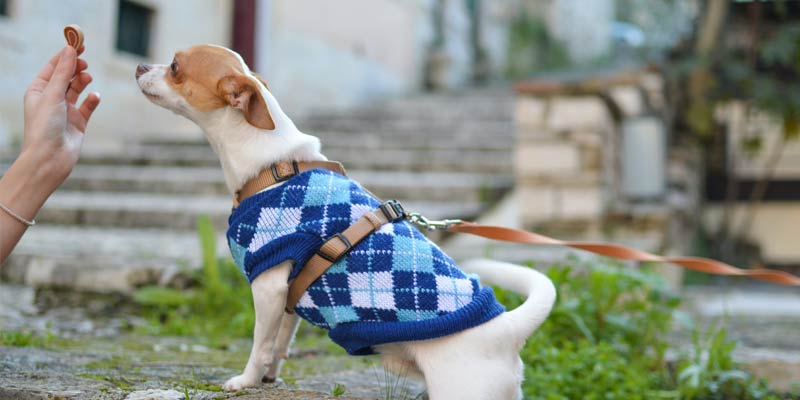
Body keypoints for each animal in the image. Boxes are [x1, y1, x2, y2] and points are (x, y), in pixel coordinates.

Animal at [134, 45, 552, 398]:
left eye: (175, 67)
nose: (139, 66)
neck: (274, 166)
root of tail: (508, 329)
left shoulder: (267, 286)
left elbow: (259, 343)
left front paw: (246, 380)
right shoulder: (288, 296)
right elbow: (280, 343)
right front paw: (270, 377)